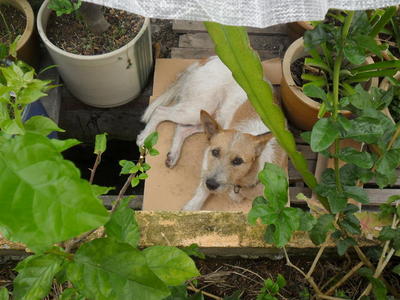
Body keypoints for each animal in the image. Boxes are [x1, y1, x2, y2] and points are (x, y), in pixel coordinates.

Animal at [138, 56, 288, 211]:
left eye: (238, 161)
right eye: (215, 152)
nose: (211, 184)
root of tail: (209, 58)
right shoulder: (208, 155)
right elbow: (203, 189)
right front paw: (191, 209)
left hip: (209, 120)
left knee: (181, 128)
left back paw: (173, 155)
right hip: (197, 109)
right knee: (160, 111)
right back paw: (145, 137)